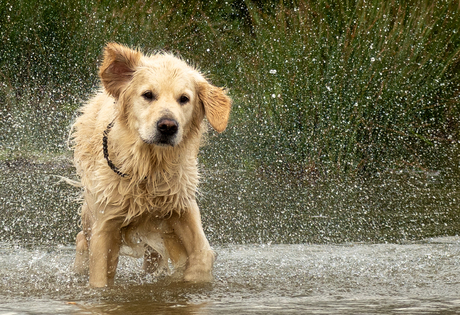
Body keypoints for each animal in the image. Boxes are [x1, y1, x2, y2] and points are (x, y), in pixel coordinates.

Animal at [70, 43, 232, 288]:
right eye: (148, 95)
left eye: (184, 99)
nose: (168, 126)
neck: (149, 166)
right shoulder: (105, 220)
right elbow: (100, 273)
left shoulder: (180, 203)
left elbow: (202, 254)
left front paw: (191, 277)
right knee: (82, 238)